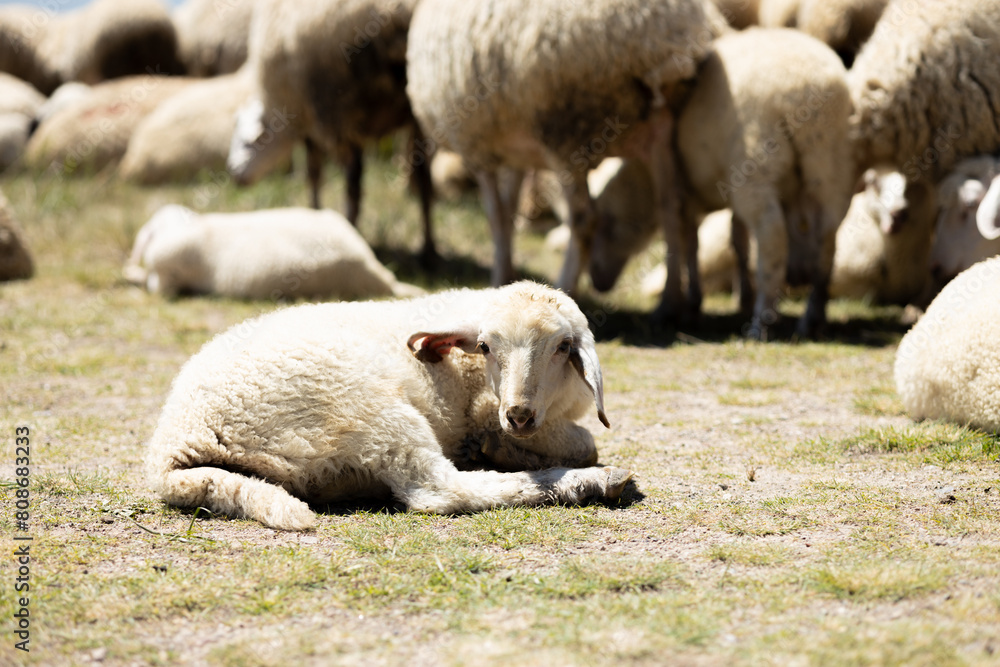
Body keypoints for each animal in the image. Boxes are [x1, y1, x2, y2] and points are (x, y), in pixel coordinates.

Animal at [145, 280, 631, 530]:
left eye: (563, 347)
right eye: (485, 345)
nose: (518, 416)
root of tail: (172, 450)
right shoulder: (489, 412)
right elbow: (585, 441)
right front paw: (503, 449)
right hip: (369, 411)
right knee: (440, 492)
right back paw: (592, 481)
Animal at [228, 0, 438, 262]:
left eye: (246, 142)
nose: (233, 173)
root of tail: (400, 10)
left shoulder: (310, 120)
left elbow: (314, 174)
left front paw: (314, 214)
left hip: (343, 105)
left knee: (353, 185)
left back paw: (352, 234)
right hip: (416, 106)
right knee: (423, 180)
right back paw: (428, 251)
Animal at [406, 0, 727, 322]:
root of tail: (668, 35)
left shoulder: (476, 147)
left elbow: (496, 217)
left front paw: (499, 278)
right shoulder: (514, 152)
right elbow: (509, 213)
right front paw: (504, 280)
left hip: (567, 129)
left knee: (585, 220)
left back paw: (565, 291)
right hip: (661, 129)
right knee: (673, 209)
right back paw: (669, 304)